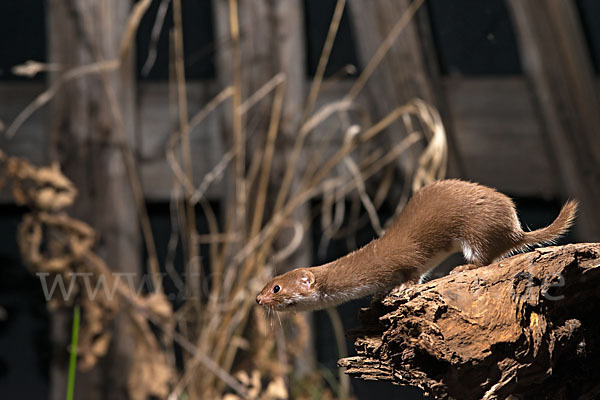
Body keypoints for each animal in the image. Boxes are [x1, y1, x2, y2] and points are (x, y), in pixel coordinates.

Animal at [255, 179, 580, 312]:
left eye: (276, 288)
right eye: (267, 283)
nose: (257, 299)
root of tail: (515, 229)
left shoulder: (403, 258)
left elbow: (413, 271)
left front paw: (401, 287)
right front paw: (379, 295)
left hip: (477, 229)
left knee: (485, 256)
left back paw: (461, 267)